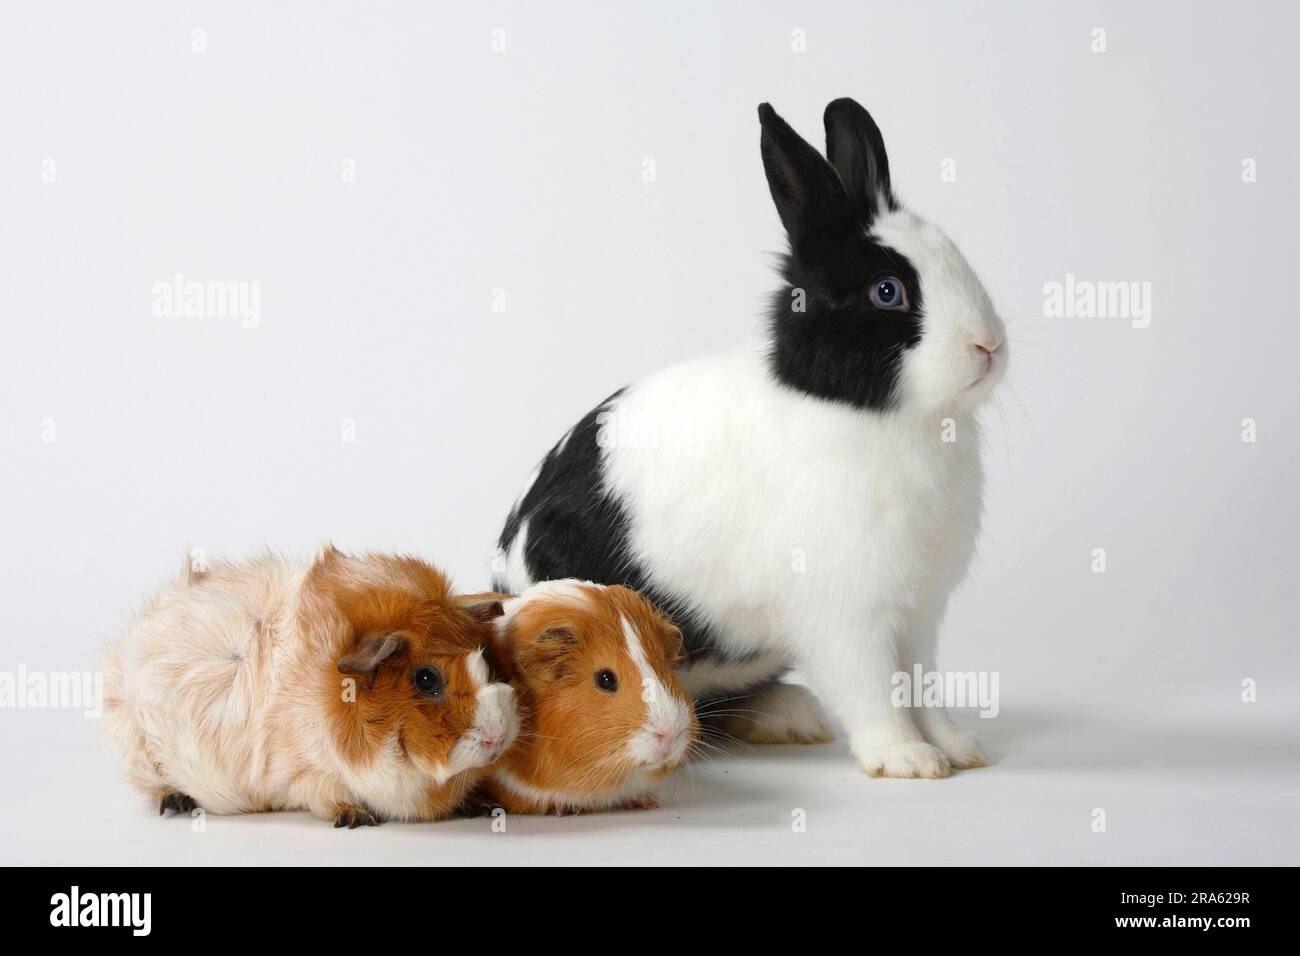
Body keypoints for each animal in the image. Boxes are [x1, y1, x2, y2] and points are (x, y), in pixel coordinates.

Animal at [101, 547, 519, 826]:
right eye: (427, 678)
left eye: (488, 662)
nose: (498, 737)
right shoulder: (306, 775)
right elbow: (324, 796)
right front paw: (357, 817)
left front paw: (479, 805)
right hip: (141, 753)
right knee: (155, 785)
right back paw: (177, 802)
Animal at [492, 98, 1006, 779]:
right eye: (887, 291)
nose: (988, 345)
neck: (869, 413)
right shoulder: (849, 617)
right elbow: (875, 688)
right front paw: (907, 760)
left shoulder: (918, 614)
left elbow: (921, 683)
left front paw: (957, 750)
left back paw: (791, 717)